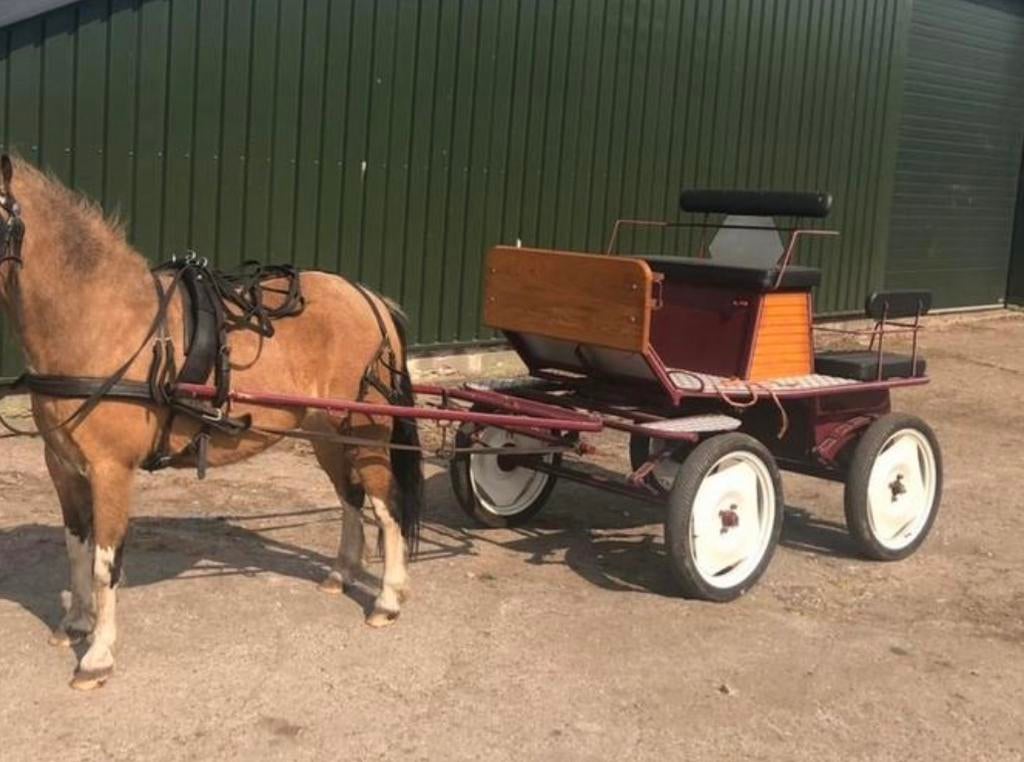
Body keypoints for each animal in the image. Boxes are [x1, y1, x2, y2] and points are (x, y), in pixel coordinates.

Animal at [0, 155, 423, 690]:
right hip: (325, 432)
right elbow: (76, 545)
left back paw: (387, 599)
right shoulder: (61, 464)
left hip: (365, 428)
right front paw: (75, 622)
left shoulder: (111, 470)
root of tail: (370, 299)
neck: (100, 324)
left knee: (386, 504)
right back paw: (341, 573)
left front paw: (97, 655)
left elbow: (104, 563)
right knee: (350, 497)